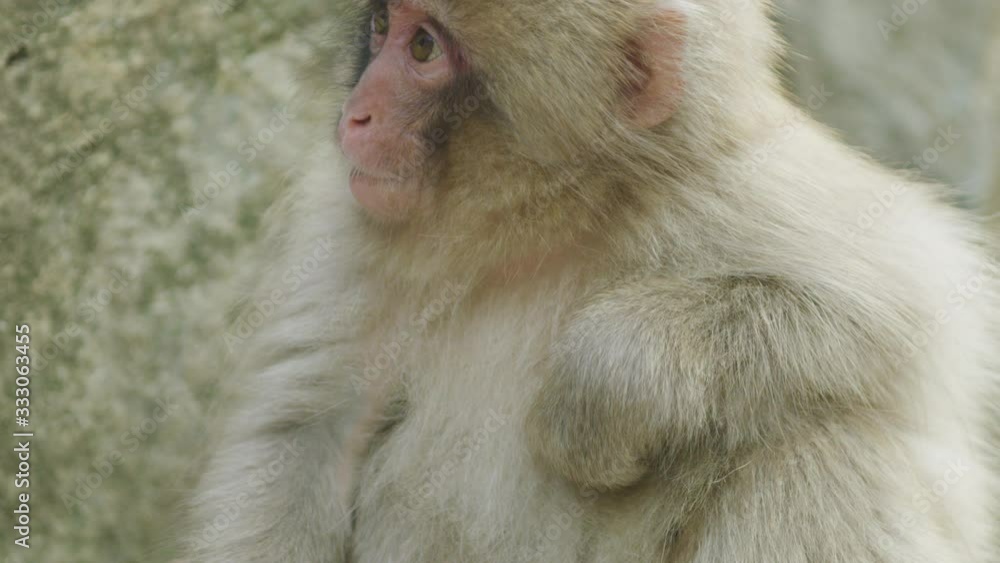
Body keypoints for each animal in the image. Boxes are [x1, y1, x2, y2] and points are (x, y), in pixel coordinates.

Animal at [187, 0, 1000, 561]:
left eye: (423, 48)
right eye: (384, 24)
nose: (356, 115)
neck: (542, 226)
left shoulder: (731, 186)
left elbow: (915, 302)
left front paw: (600, 389)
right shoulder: (345, 225)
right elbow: (303, 440)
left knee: (820, 439)